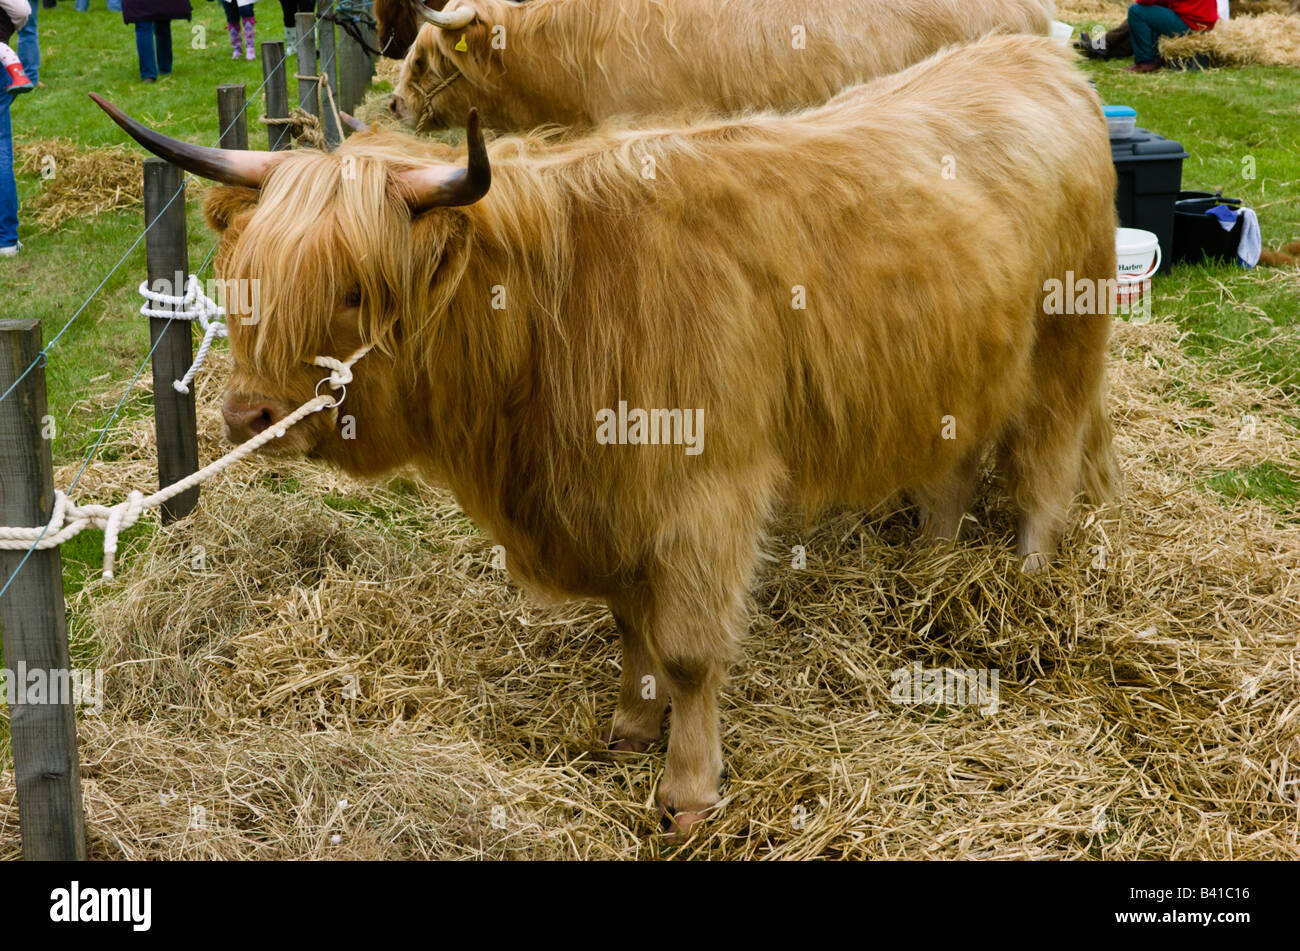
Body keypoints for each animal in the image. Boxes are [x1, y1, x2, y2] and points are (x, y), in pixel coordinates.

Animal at [92, 33, 1117, 838]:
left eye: (352, 289)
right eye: (251, 275)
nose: (246, 416)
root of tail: (1032, 56)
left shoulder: (706, 490)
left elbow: (693, 650)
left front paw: (688, 788)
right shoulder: (607, 501)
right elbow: (631, 622)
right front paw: (629, 722)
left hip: (1064, 345)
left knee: (1046, 466)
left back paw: (1026, 578)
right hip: (957, 373)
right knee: (953, 467)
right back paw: (935, 565)